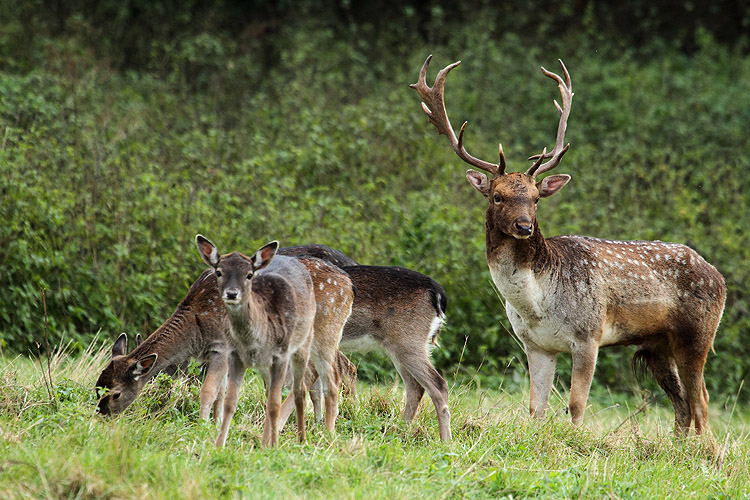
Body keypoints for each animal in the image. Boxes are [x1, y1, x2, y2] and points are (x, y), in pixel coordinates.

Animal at [197, 236, 356, 448]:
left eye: (249, 275)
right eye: (219, 272)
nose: (231, 293)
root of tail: (350, 285)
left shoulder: (279, 355)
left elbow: (273, 400)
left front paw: (270, 444)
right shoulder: (237, 356)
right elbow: (237, 399)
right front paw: (220, 443)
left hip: (324, 335)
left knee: (329, 380)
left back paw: (326, 435)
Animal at [276, 246, 452, 442]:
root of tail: (439, 295)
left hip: (409, 342)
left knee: (438, 384)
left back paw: (445, 441)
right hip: (398, 346)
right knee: (415, 387)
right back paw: (400, 431)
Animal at [412, 56, 728, 436]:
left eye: (535, 198)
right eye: (497, 196)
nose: (524, 226)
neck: (537, 302)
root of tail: (719, 276)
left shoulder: (589, 334)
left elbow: (576, 406)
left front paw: (577, 441)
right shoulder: (535, 345)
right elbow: (535, 408)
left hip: (698, 333)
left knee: (701, 401)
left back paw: (703, 447)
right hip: (657, 345)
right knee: (681, 404)